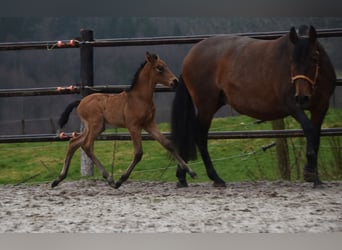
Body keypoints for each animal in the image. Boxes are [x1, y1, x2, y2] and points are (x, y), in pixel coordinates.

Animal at [51, 53, 196, 189]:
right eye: (159, 68)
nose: (175, 81)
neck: (139, 98)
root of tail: (81, 102)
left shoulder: (149, 124)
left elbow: (168, 144)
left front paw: (191, 172)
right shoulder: (133, 126)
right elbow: (138, 153)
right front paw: (121, 180)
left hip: (94, 127)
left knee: (74, 142)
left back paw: (58, 179)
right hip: (96, 125)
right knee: (86, 145)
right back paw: (110, 179)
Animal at [171, 26, 334, 188]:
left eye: (314, 59)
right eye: (291, 61)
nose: (302, 97)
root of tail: (189, 57)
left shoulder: (321, 107)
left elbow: (316, 136)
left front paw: (315, 177)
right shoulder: (293, 105)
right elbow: (309, 129)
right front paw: (310, 173)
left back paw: (182, 177)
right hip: (206, 106)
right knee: (200, 137)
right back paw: (215, 178)